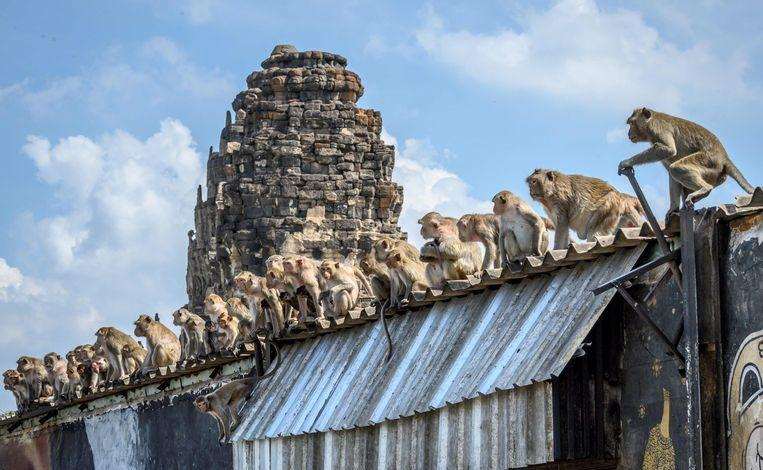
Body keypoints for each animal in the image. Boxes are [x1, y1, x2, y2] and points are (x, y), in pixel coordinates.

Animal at [619, 107, 754, 216]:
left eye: (632, 123)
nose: (629, 133)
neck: (651, 120)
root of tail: (724, 157)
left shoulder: (659, 129)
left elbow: (668, 150)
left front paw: (626, 163)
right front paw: (673, 207)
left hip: (708, 161)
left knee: (675, 168)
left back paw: (704, 189)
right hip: (716, 175)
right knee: (672, 172)